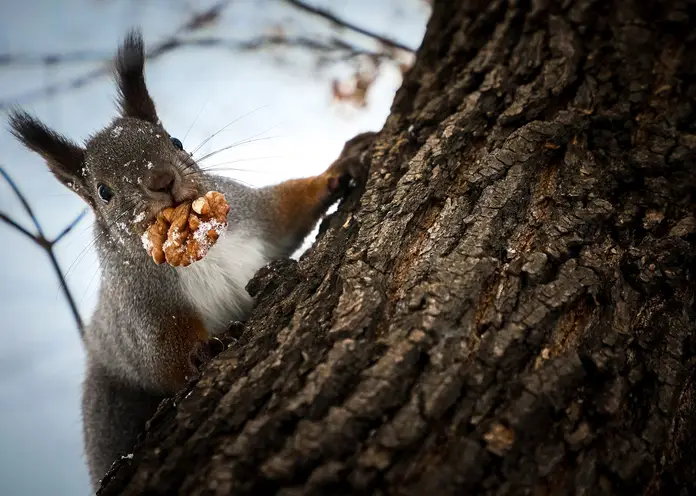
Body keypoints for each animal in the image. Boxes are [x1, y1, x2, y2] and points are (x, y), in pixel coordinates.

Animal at [6, 29, 376, 490]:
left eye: (175, 142)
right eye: (104, 191)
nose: (162, 179)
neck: (192, 241)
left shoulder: (252, 217)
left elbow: (288, 212)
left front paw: (337, 170)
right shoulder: (144, 308)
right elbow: (164, 357)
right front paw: (202, 353)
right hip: (110, 407)